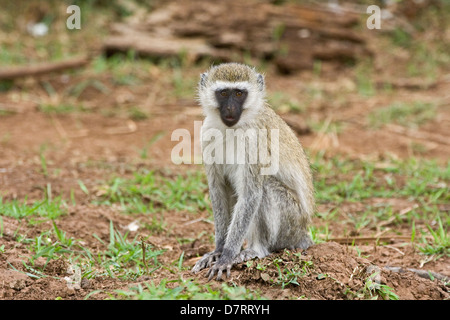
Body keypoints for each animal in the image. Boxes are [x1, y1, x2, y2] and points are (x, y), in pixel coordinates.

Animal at [192, 62, 314, 280]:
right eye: (224, 93)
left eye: (239, 94)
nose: (230, 108)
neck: (233, 128)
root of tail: (303, 233)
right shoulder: (206, 133)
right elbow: (218, 190)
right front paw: (218, 250)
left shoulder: (255, 139)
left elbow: (251, 195)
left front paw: (227, 255)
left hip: (291, 223)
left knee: (265, 188)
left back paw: (257, 249)